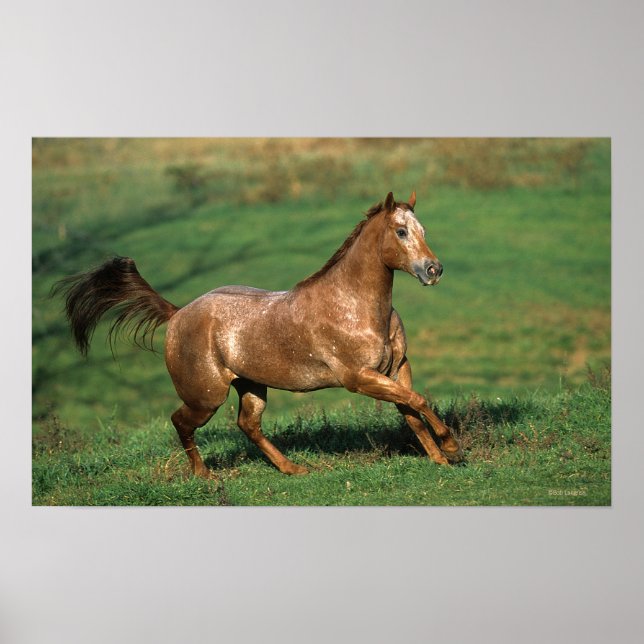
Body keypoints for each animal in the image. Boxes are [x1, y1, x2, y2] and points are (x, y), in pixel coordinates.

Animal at [55, 191, 463, 477]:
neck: (354, 305)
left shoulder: (396, 368)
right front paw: (452, 447)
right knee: (181, 422)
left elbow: (412, 409)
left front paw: (440, 458)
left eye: (423, 231)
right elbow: (418, 401)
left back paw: (292, 468)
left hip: (251, 385)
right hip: (206, 396)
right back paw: (204, 476)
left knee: (248, 425)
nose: (434, 269)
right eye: (400, 231)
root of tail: (178, 313)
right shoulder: (359, 378)